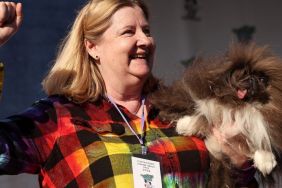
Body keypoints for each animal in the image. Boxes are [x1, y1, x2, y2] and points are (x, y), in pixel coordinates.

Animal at [150, 43, 282, 186]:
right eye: (243, 72)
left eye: (262, 79)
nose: (252, 79)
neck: (239, 105)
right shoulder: (209, 104)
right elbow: (203, 115)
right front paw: (184, 125)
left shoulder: (258, 127)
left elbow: (261, 140)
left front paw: (266, 162)